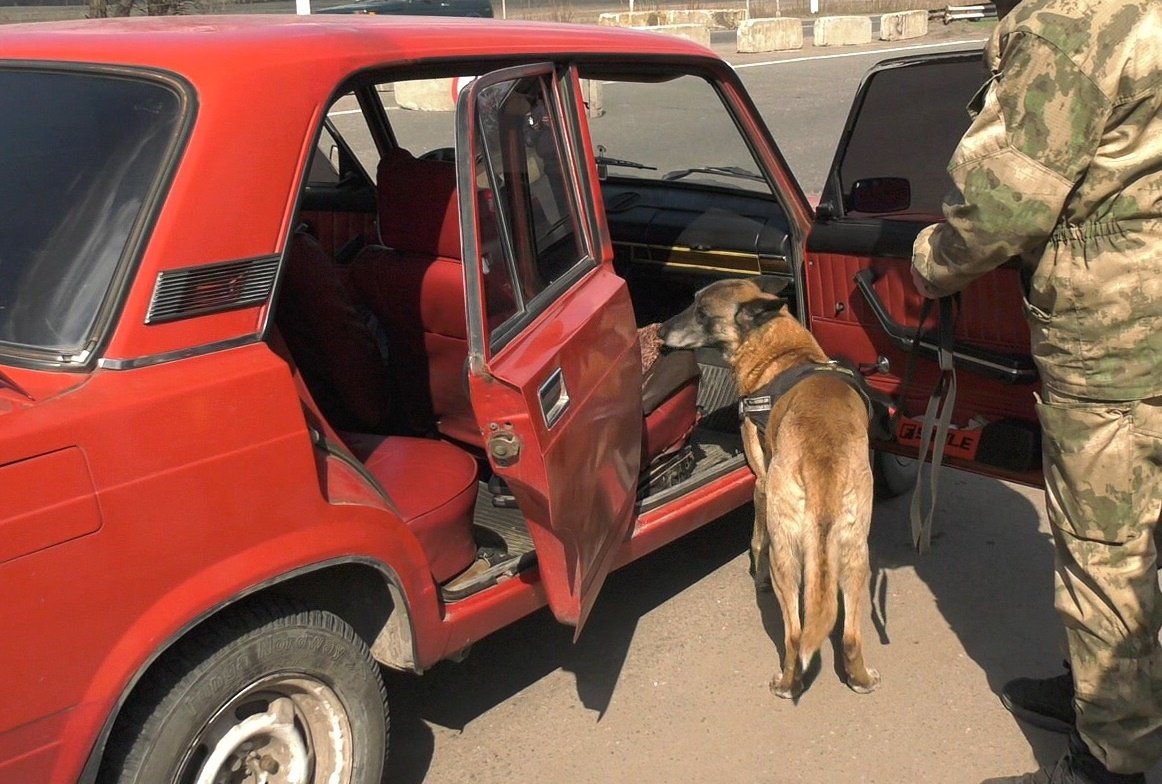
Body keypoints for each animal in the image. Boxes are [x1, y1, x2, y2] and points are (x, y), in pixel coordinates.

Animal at [660, 277, 873, 701]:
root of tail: (823, 456)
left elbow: (755, 540)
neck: (781, 350)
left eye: (702, 313)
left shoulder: (759, 484)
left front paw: (754, 574)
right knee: (850, 635)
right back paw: (860, 679)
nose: (659, 330)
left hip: (785, 555)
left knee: (794, 635)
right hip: (857, 555)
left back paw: (787, 684)